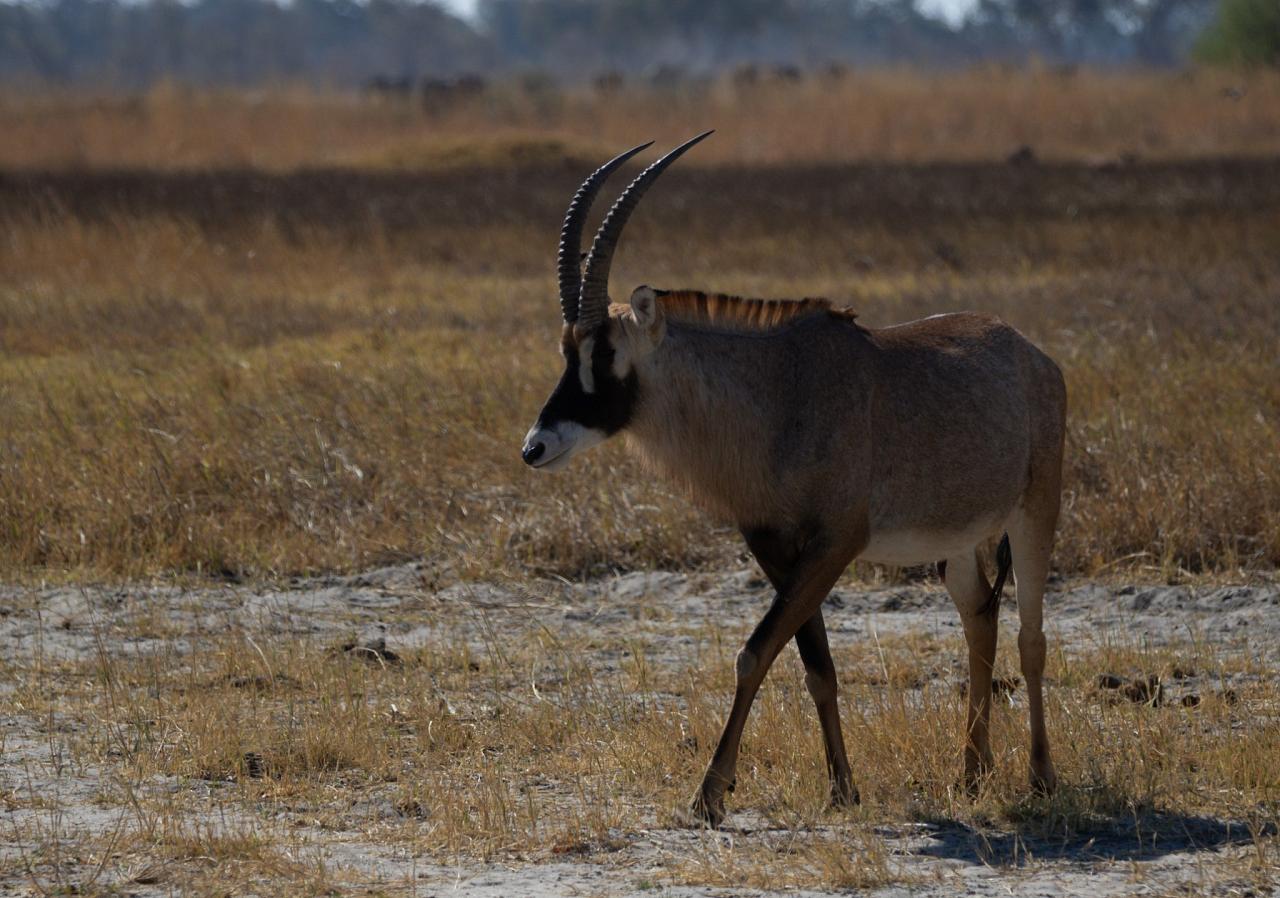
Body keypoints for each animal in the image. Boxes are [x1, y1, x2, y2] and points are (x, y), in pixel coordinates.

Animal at [519, 133, 1070, 828]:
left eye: (606, 352)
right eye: (567, 350)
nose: (535, 447)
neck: (778, 391)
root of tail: (1033, 356)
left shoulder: (835, 542)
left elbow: (755, 652)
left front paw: (710, 792)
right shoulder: (775, 547)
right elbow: (815, 665)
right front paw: (843, 787)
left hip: (1034, 513)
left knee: (1031, 637)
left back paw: (1041, 776)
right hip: (959, 544)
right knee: (982, 619)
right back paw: (971, 774)